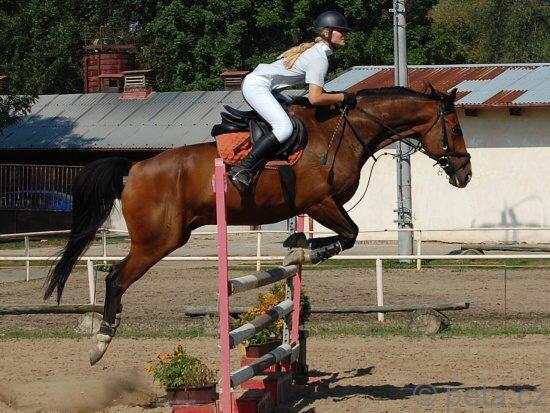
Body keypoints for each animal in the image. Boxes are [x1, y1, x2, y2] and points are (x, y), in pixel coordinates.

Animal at [44, 85, 472, 364]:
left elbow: (340, 237)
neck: (345, 133)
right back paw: (101, 341)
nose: (465, 173)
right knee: (115, 277)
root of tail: (134, 168)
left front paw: (296, 245)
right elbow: (349, 234)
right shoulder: (319, 202)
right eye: (455, 128)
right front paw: (302, 252)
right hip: (157, 241)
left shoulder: (318, 206)